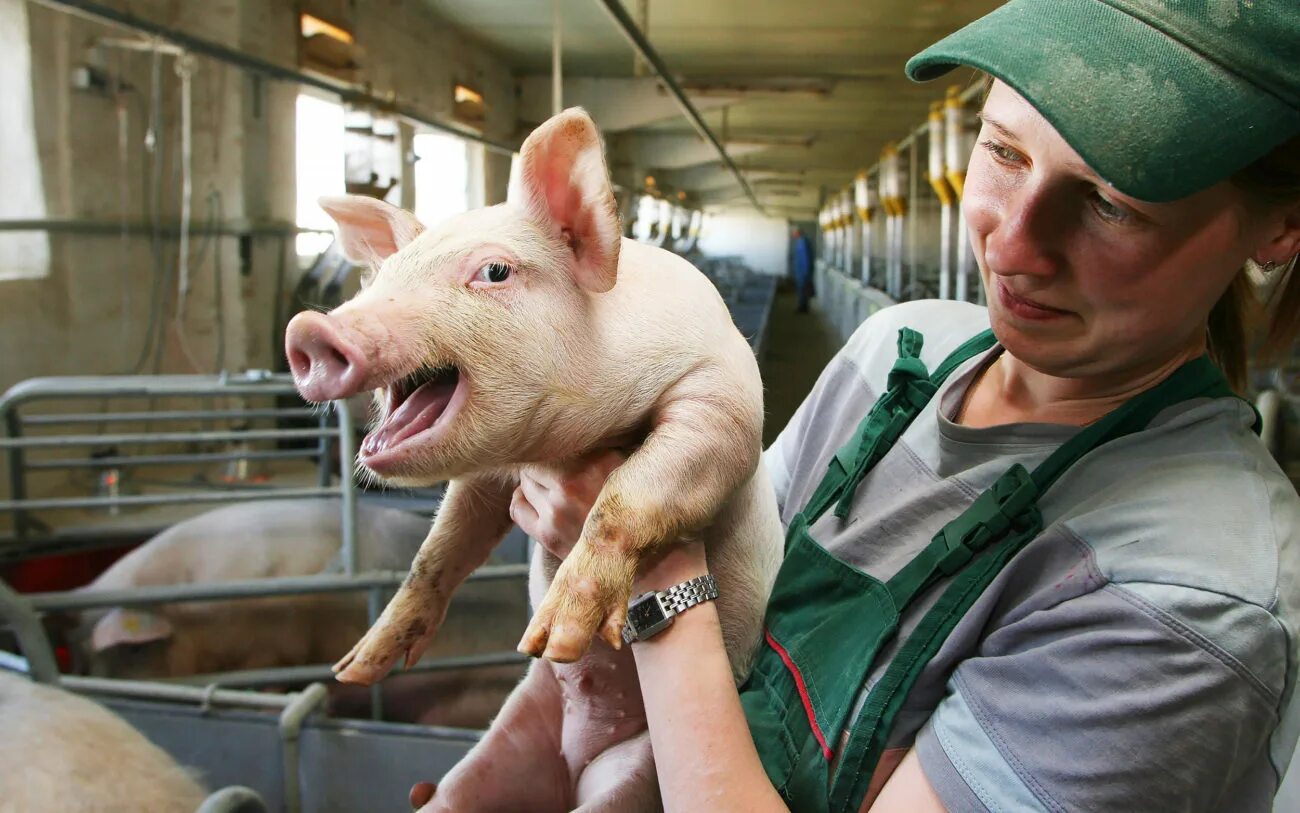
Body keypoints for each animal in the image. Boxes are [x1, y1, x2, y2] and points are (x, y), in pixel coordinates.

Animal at [283, 107, 784, 810]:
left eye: (495, 272)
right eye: (380, 277)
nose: (309, 328)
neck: (557, 445)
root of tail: (576, 761)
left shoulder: (725, 396)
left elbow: (630, 492)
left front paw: (554, 637)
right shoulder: (489, 479)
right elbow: (437, 553)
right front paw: (355, 668)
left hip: (636, 775)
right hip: (515, 727)